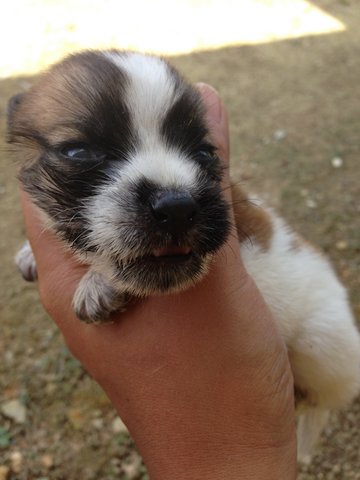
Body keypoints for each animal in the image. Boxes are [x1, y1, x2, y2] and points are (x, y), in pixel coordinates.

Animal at [7, 50, 360, 460]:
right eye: (79, 152)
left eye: (204, 152)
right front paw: (31, 252)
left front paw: (98, 281)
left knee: (321, 399)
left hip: (321, 344)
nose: (176, 207)